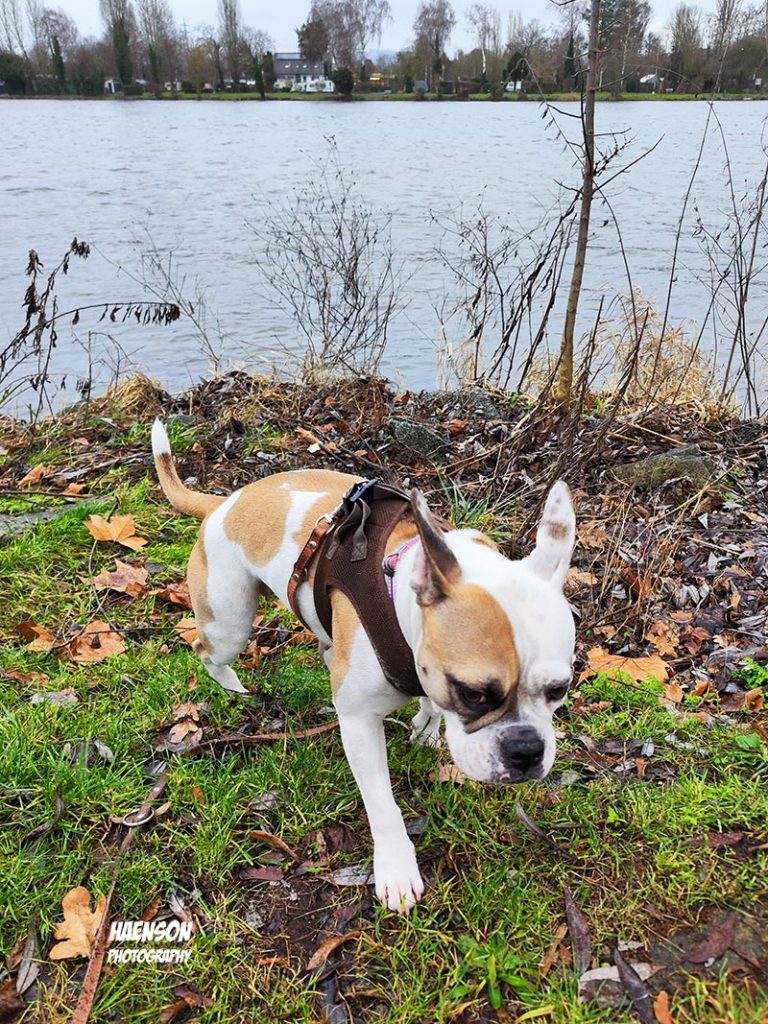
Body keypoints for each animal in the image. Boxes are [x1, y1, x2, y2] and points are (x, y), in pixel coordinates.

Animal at [152, 419, 576, 913]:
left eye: (559, 690)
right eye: (472, 693)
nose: (526, 751)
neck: (401, 591)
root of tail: (223, 504)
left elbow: (428, 706)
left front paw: (427, 729)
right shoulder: (358, 723)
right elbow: (382, 803)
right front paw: (395, 867)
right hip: (229, 624)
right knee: (207, 650)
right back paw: (232, 686)